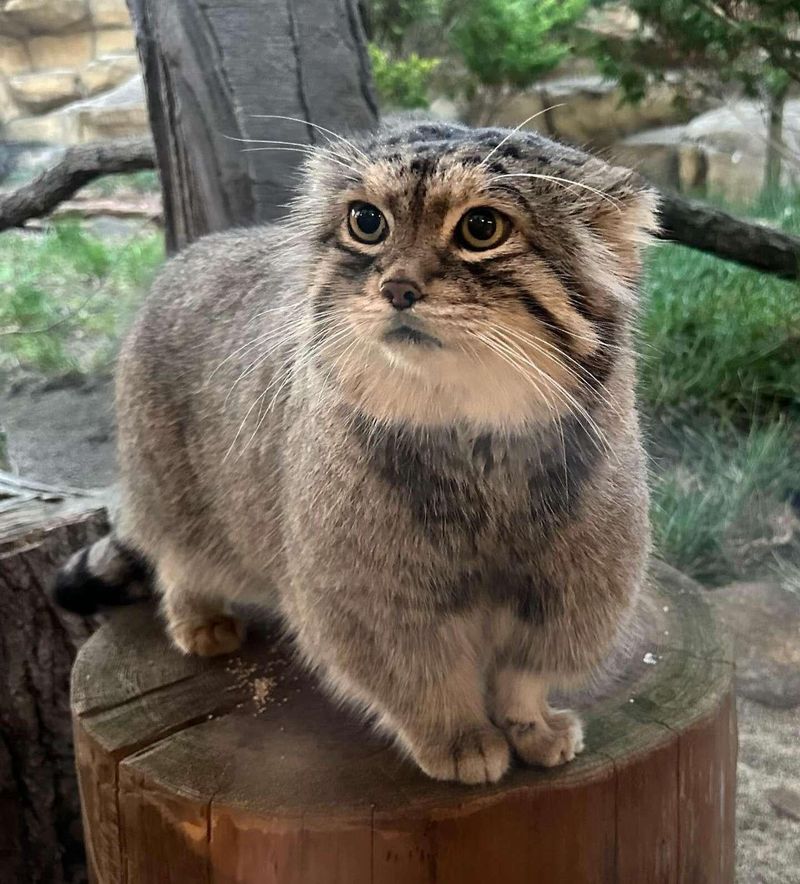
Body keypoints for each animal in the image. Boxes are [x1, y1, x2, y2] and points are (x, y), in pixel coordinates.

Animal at [54, 121, 656, 784]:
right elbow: (427, 682)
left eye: (481, 228)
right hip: (174, 492)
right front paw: (458, 736)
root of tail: (185, 258)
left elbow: (522, 676)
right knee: (178, 559)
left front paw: (532, 724)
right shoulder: (371, 601)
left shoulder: (572, 591)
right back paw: (199, 618)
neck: (472, 438)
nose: (397, 288)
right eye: (367, 222)